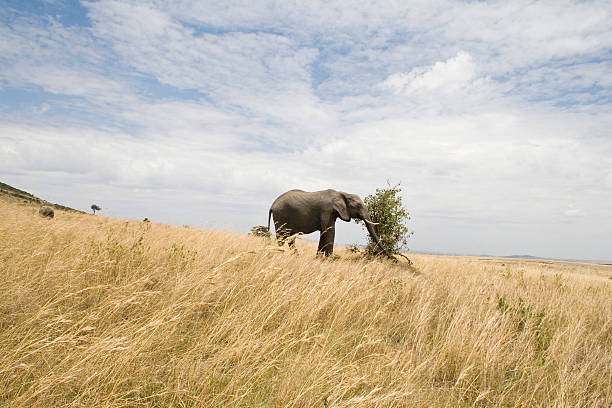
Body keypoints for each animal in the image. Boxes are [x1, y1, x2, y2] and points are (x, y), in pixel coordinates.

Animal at [266, 189, 402, 262]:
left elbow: (325, 232)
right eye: (358, 206)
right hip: (281, 216)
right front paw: (329, 260)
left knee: (290, 238)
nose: (395, 260)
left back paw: (295, 256)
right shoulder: (327, 210)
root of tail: (272, 205)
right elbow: (330, 231)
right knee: (282, 237)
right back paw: (280, 255)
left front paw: (319, 258)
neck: (343, 193)